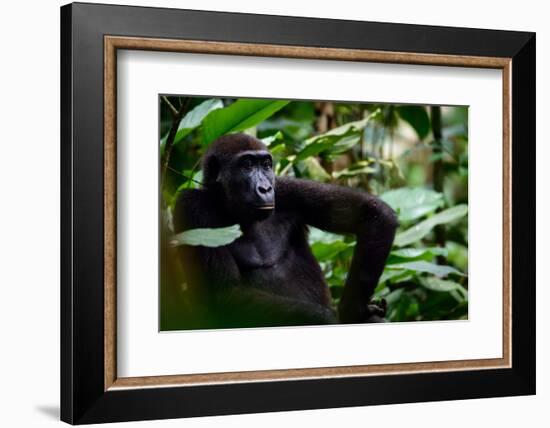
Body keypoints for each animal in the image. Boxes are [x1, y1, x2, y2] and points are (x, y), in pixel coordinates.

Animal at [175, 134, 398, 328]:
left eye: (266, 165)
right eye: (247, 165)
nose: (265, 188)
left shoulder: (286, 188)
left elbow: (372, 213)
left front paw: (354, 310)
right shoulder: (191, 206)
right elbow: (227, 294)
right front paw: (337, 317)